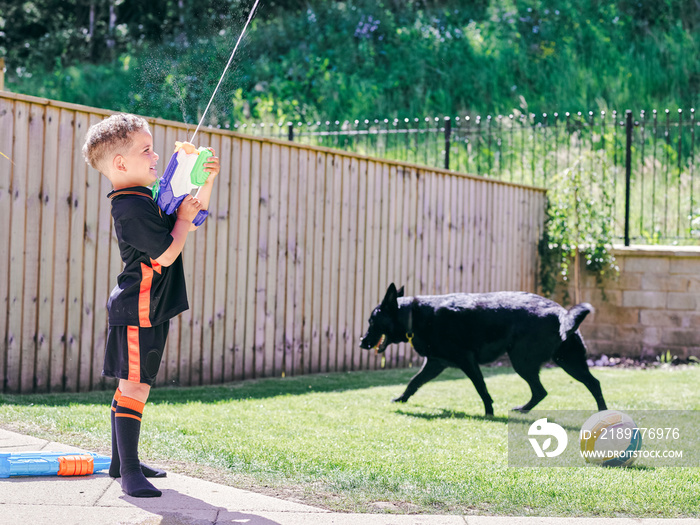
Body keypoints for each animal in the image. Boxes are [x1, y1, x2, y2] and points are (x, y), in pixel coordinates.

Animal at [360, 284, 608, 416]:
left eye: (371, 321)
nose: (361, 342)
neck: (413, 315)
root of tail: (561, 313)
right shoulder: (435, 364)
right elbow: (413, 382)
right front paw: (401, 399)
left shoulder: (467, 361)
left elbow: (481, 388)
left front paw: (489, 413)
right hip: (567, 361)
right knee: (588, 384)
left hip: (523, 362)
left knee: (544, 390)